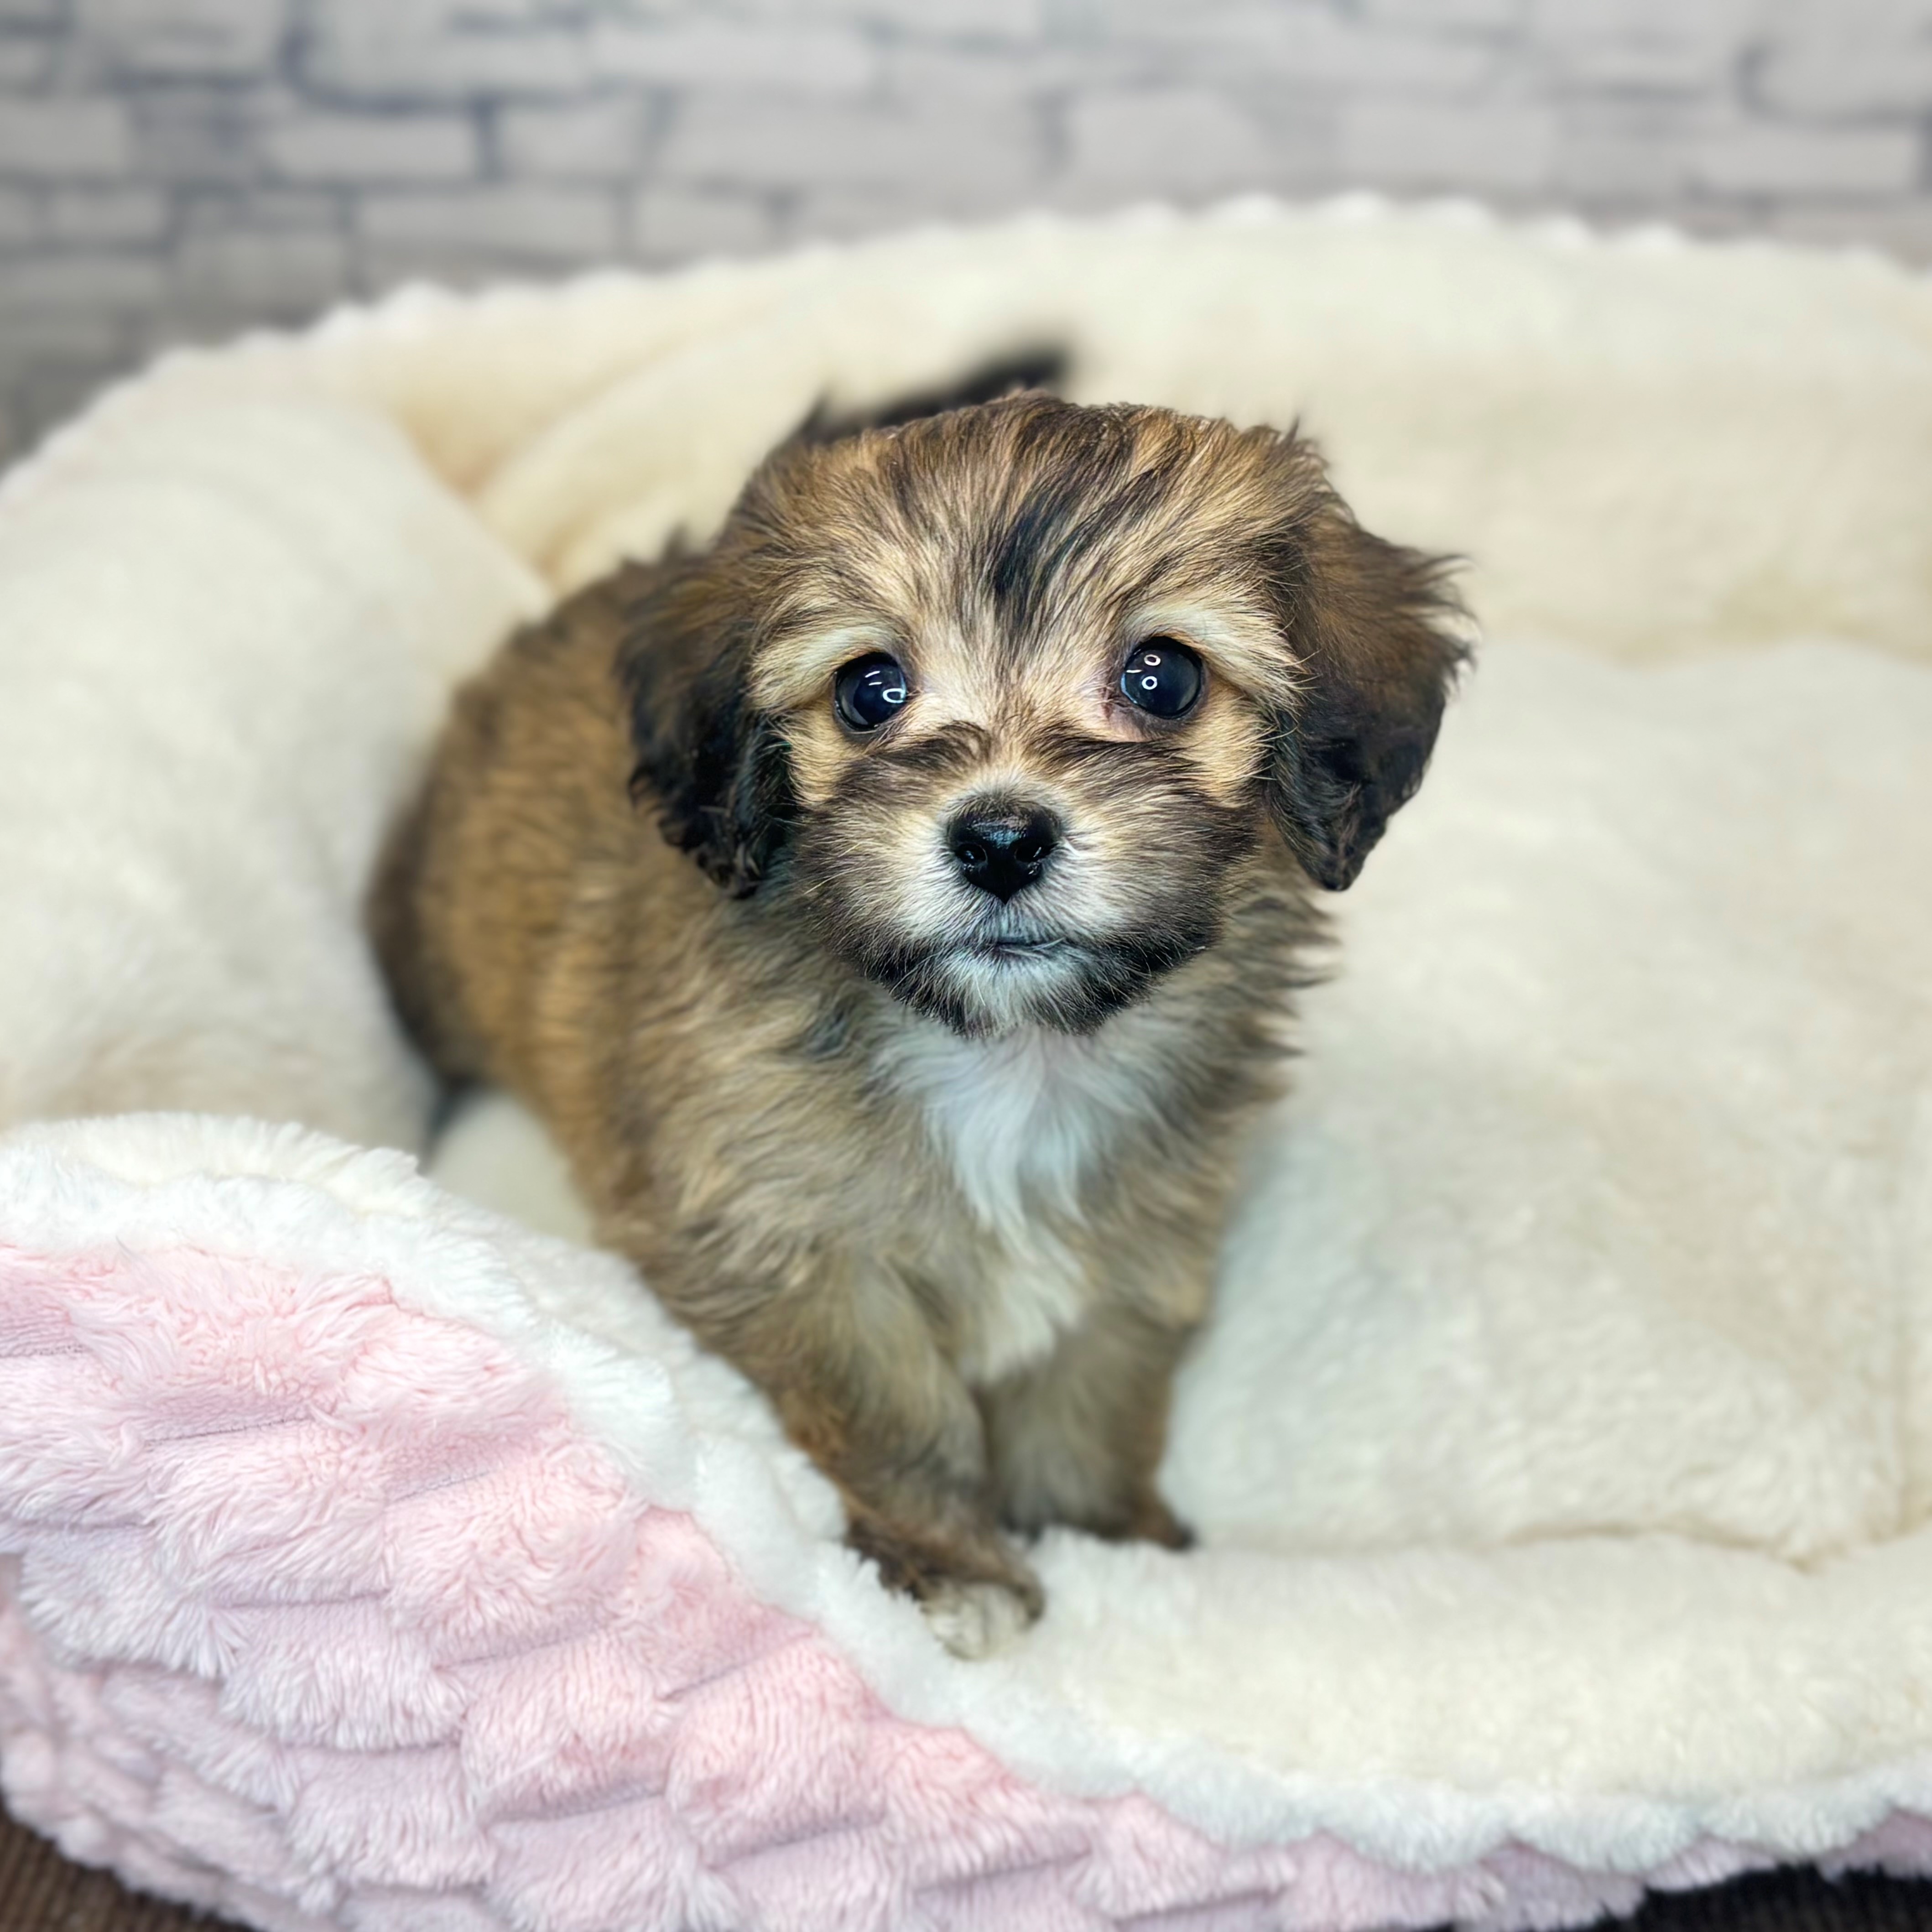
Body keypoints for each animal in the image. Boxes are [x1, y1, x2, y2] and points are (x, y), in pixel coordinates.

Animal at [371, 383, 1464, 1655]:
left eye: (1163, 678)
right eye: (870, 690)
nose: (999, 839)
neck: (1009, 1051)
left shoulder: (1140, 1244)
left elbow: (1091, 1398)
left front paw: (1103, 1541)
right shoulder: (801, 1251)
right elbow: (898, 1414)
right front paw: (951, 1565)